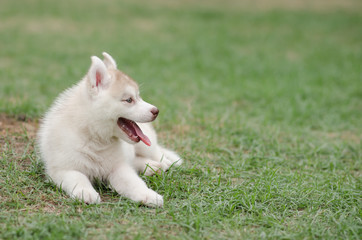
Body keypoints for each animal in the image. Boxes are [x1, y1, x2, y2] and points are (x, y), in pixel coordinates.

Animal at [37, 52, 181, 206]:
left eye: (139, 96)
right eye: (129, 100)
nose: (156, 111)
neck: (95, 137)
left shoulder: (119, 168)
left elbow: (134, 183)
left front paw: (148, 194)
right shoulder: (63, 170)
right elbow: (78, 178)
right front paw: (86, 192)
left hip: (147, 146)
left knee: (156, 154)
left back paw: (163, 163)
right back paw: (152, 167)